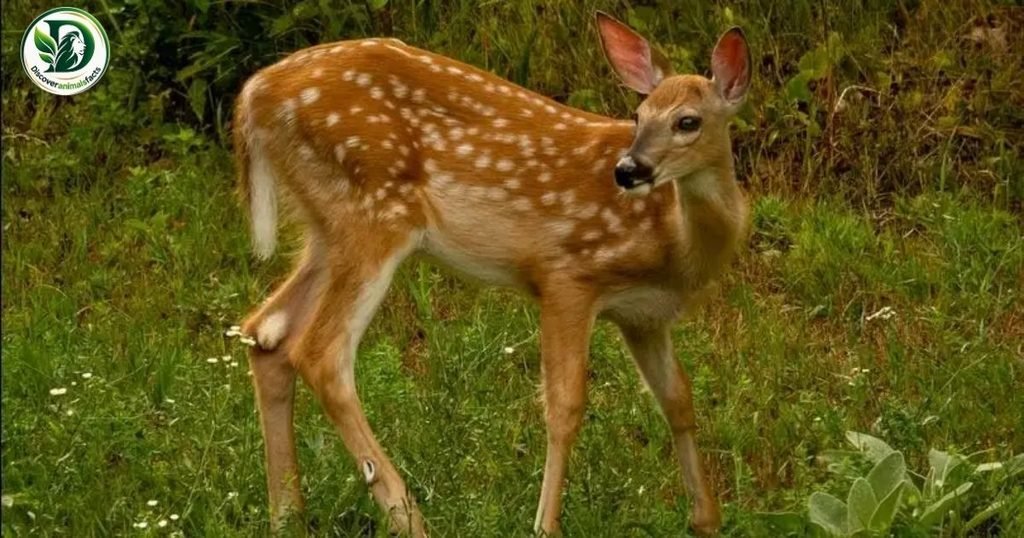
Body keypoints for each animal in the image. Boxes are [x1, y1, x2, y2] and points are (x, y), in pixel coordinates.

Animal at [233, 11, 750, 536]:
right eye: (639, 117)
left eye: (687, 121)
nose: (628, 169)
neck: (674, 242)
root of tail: (254, 93)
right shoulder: (568, 275)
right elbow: (565, 406)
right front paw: (545, 525)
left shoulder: (644, 316)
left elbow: (678, 400)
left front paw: (706, 519)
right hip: (374, 211)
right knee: (321, 351)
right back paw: (408, 518)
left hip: (327, 228)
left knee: (267, 333)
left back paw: (286, 515)